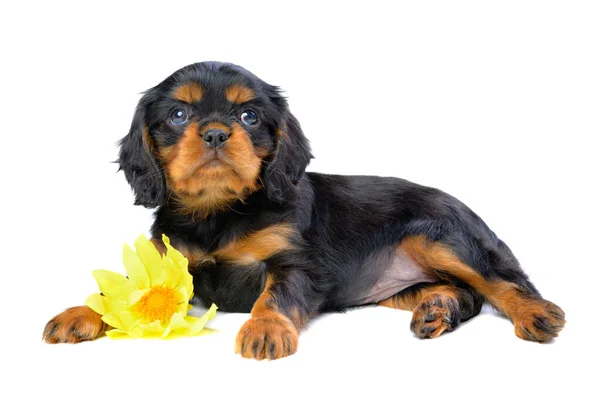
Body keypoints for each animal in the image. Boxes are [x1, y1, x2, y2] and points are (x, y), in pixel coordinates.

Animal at [44, 61, 564, 360]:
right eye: (178, 115)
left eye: (249, 116)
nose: (215, 133)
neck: (219, 211)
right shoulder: (167, 262)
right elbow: (122, 290)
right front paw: (78, 312)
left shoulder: (297, 264)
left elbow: (274, 295)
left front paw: (265, 329)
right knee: (467, 294)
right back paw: (438, 310)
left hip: (438, 235)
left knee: (501, 282)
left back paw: (536, 314)